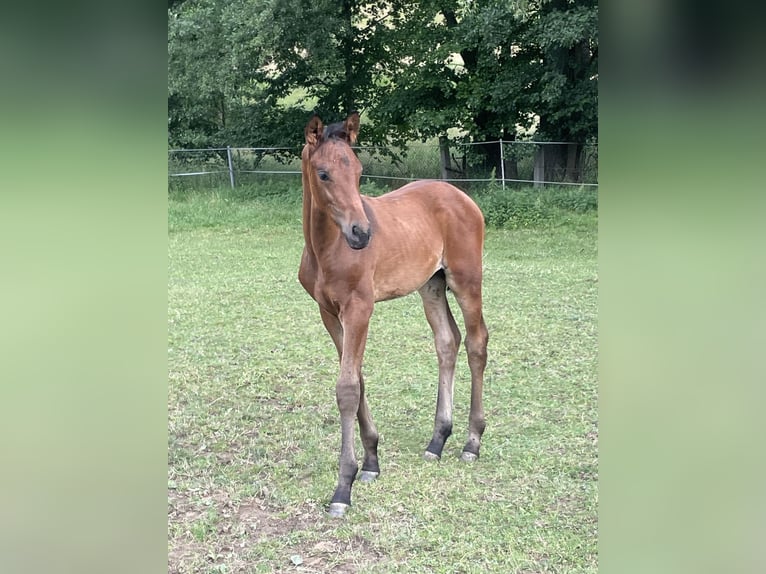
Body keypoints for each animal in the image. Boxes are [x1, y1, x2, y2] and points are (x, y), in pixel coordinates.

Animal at [300, 111, 492, 516]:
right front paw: (371, 462)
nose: (361, 233)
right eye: (323, 173)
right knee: (447, 341)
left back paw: (471, 442)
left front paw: (343, 487)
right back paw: (437, 441)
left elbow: (346, 387)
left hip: (466, 280)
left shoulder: (360, 308)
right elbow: (356, 380)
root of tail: (462, 196)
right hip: (431, 285)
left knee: (476, 342)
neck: (327, 249)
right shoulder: (329, 313)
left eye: (358, 170)